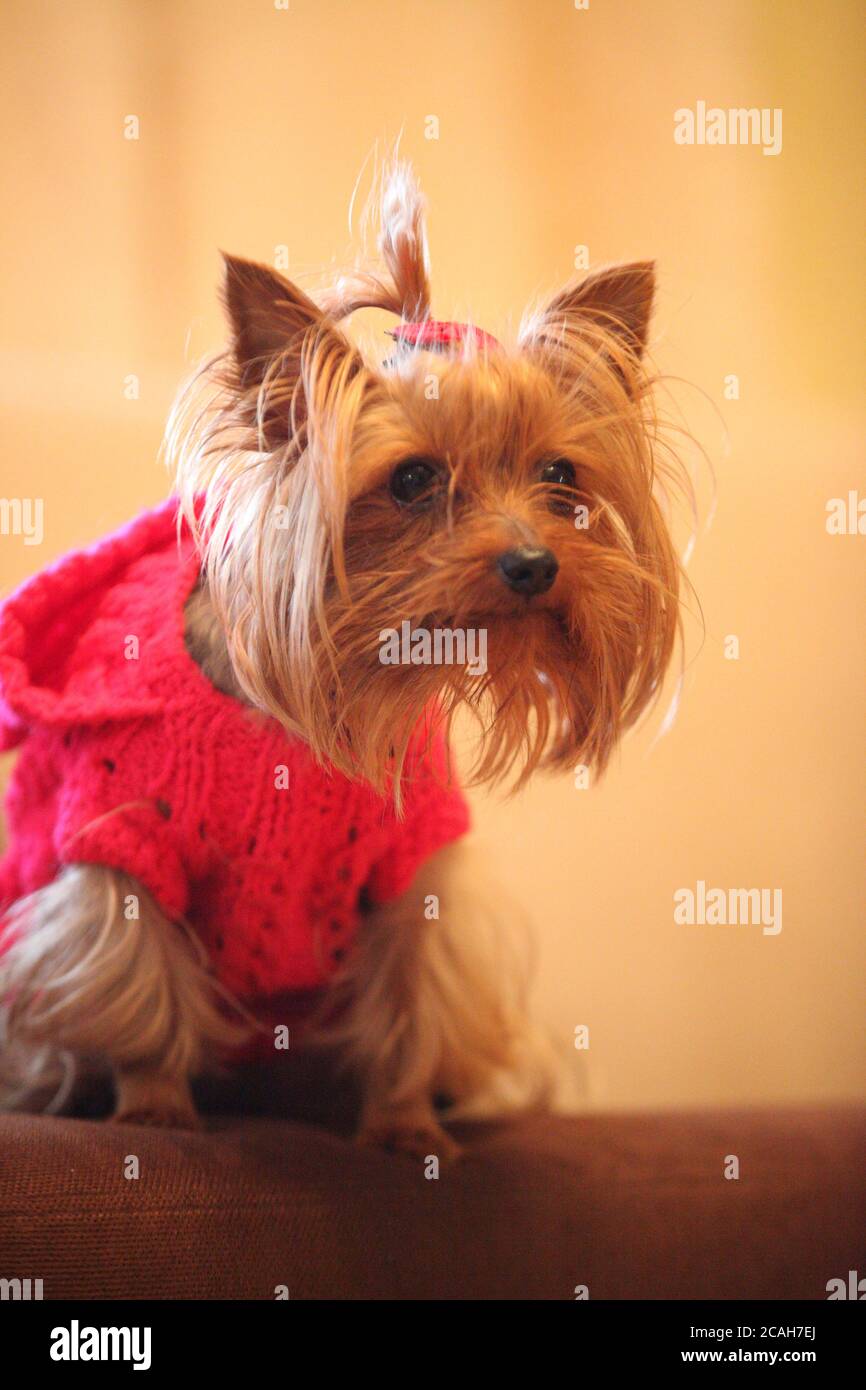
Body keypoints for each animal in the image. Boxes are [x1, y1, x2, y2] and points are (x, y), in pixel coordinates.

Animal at [0, 168, 686, 1156]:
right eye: (412, 481)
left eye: (561, 476)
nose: (535, 564)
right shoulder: (122, 841)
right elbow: (140, 984)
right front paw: (154, 1106)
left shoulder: (412, 871)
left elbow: (414, 998)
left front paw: (406, 1128)